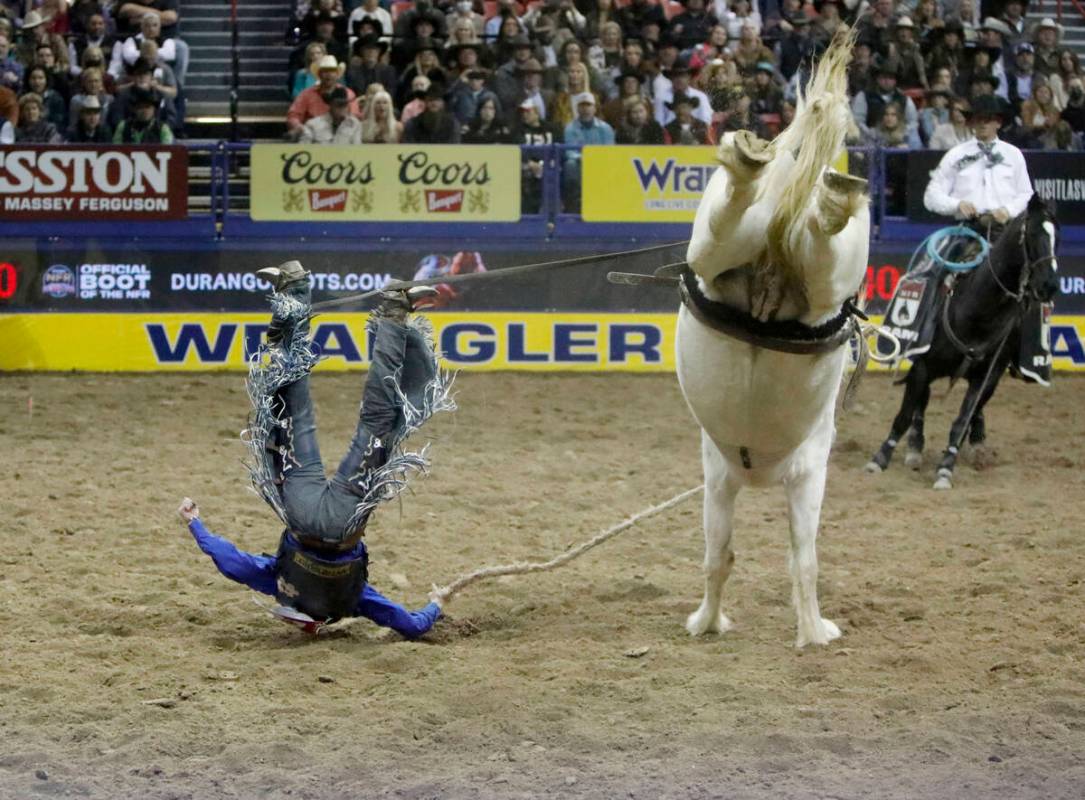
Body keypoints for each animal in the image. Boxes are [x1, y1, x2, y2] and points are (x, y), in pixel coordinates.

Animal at [677, 28, 872, 646]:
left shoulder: (728, 479)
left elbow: (728, 556)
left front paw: (711, 620)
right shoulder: (784, 476)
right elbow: (789, 558)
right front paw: (810, 631)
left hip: (726, 246)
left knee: (733, 216)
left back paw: (754, 161)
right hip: (826, 273)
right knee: (819, 235)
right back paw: (822, 188)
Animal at [863, 196, 1058, 490]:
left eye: (1057, 237)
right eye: (1033, 234)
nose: (1050, 286)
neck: (976, 312)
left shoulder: (986, 377)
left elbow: (961, 422)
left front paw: (946, 468)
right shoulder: (923, 366)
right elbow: (906, 413)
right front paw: (880, 457)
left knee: (975, 412)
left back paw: (977, 446)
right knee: (921, 403)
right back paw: (915, 449)